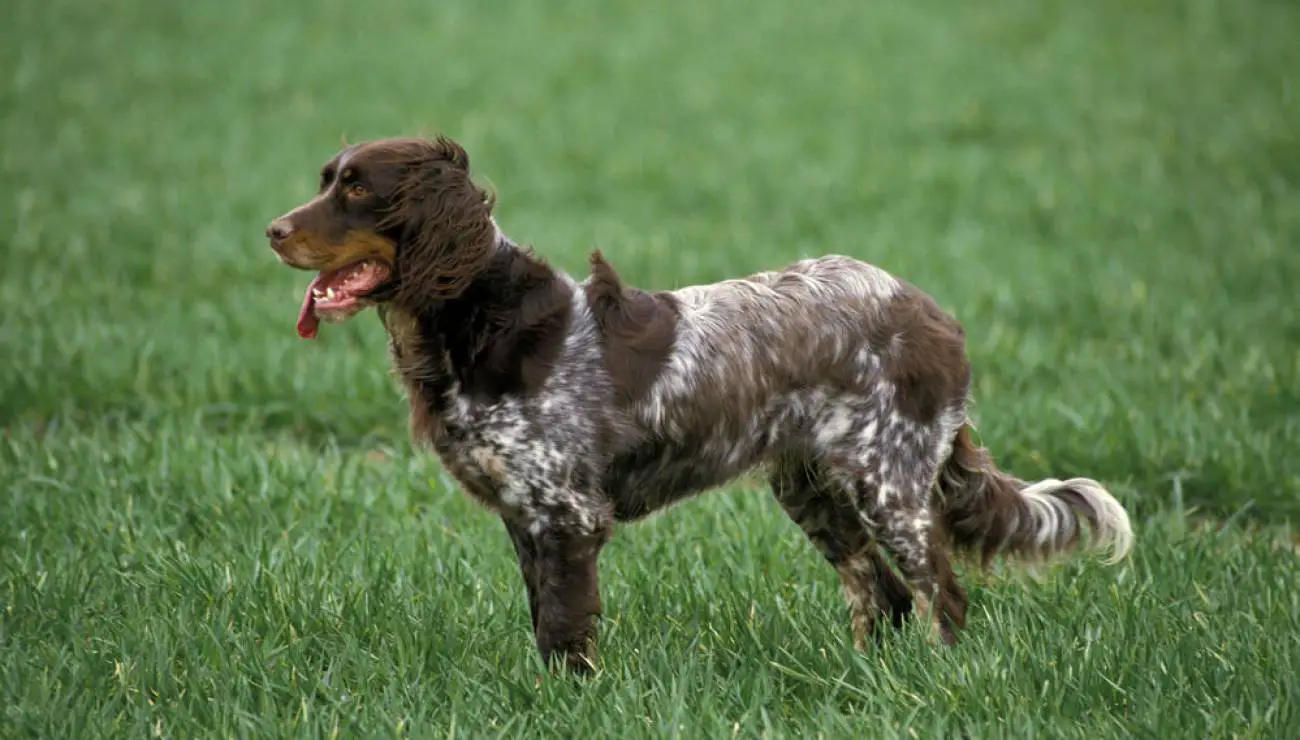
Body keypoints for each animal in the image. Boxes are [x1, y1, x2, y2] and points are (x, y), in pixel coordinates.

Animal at [269, 133, 1133, 676]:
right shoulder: (526, 515)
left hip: (890, 484)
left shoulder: (567, 514)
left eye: (357, 188)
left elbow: (565, 628)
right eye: (323, 179)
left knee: (941, 597)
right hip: (811, 489)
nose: (273, 229)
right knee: (882, 597)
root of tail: (930, 312)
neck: (475, 319)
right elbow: (546, 625)